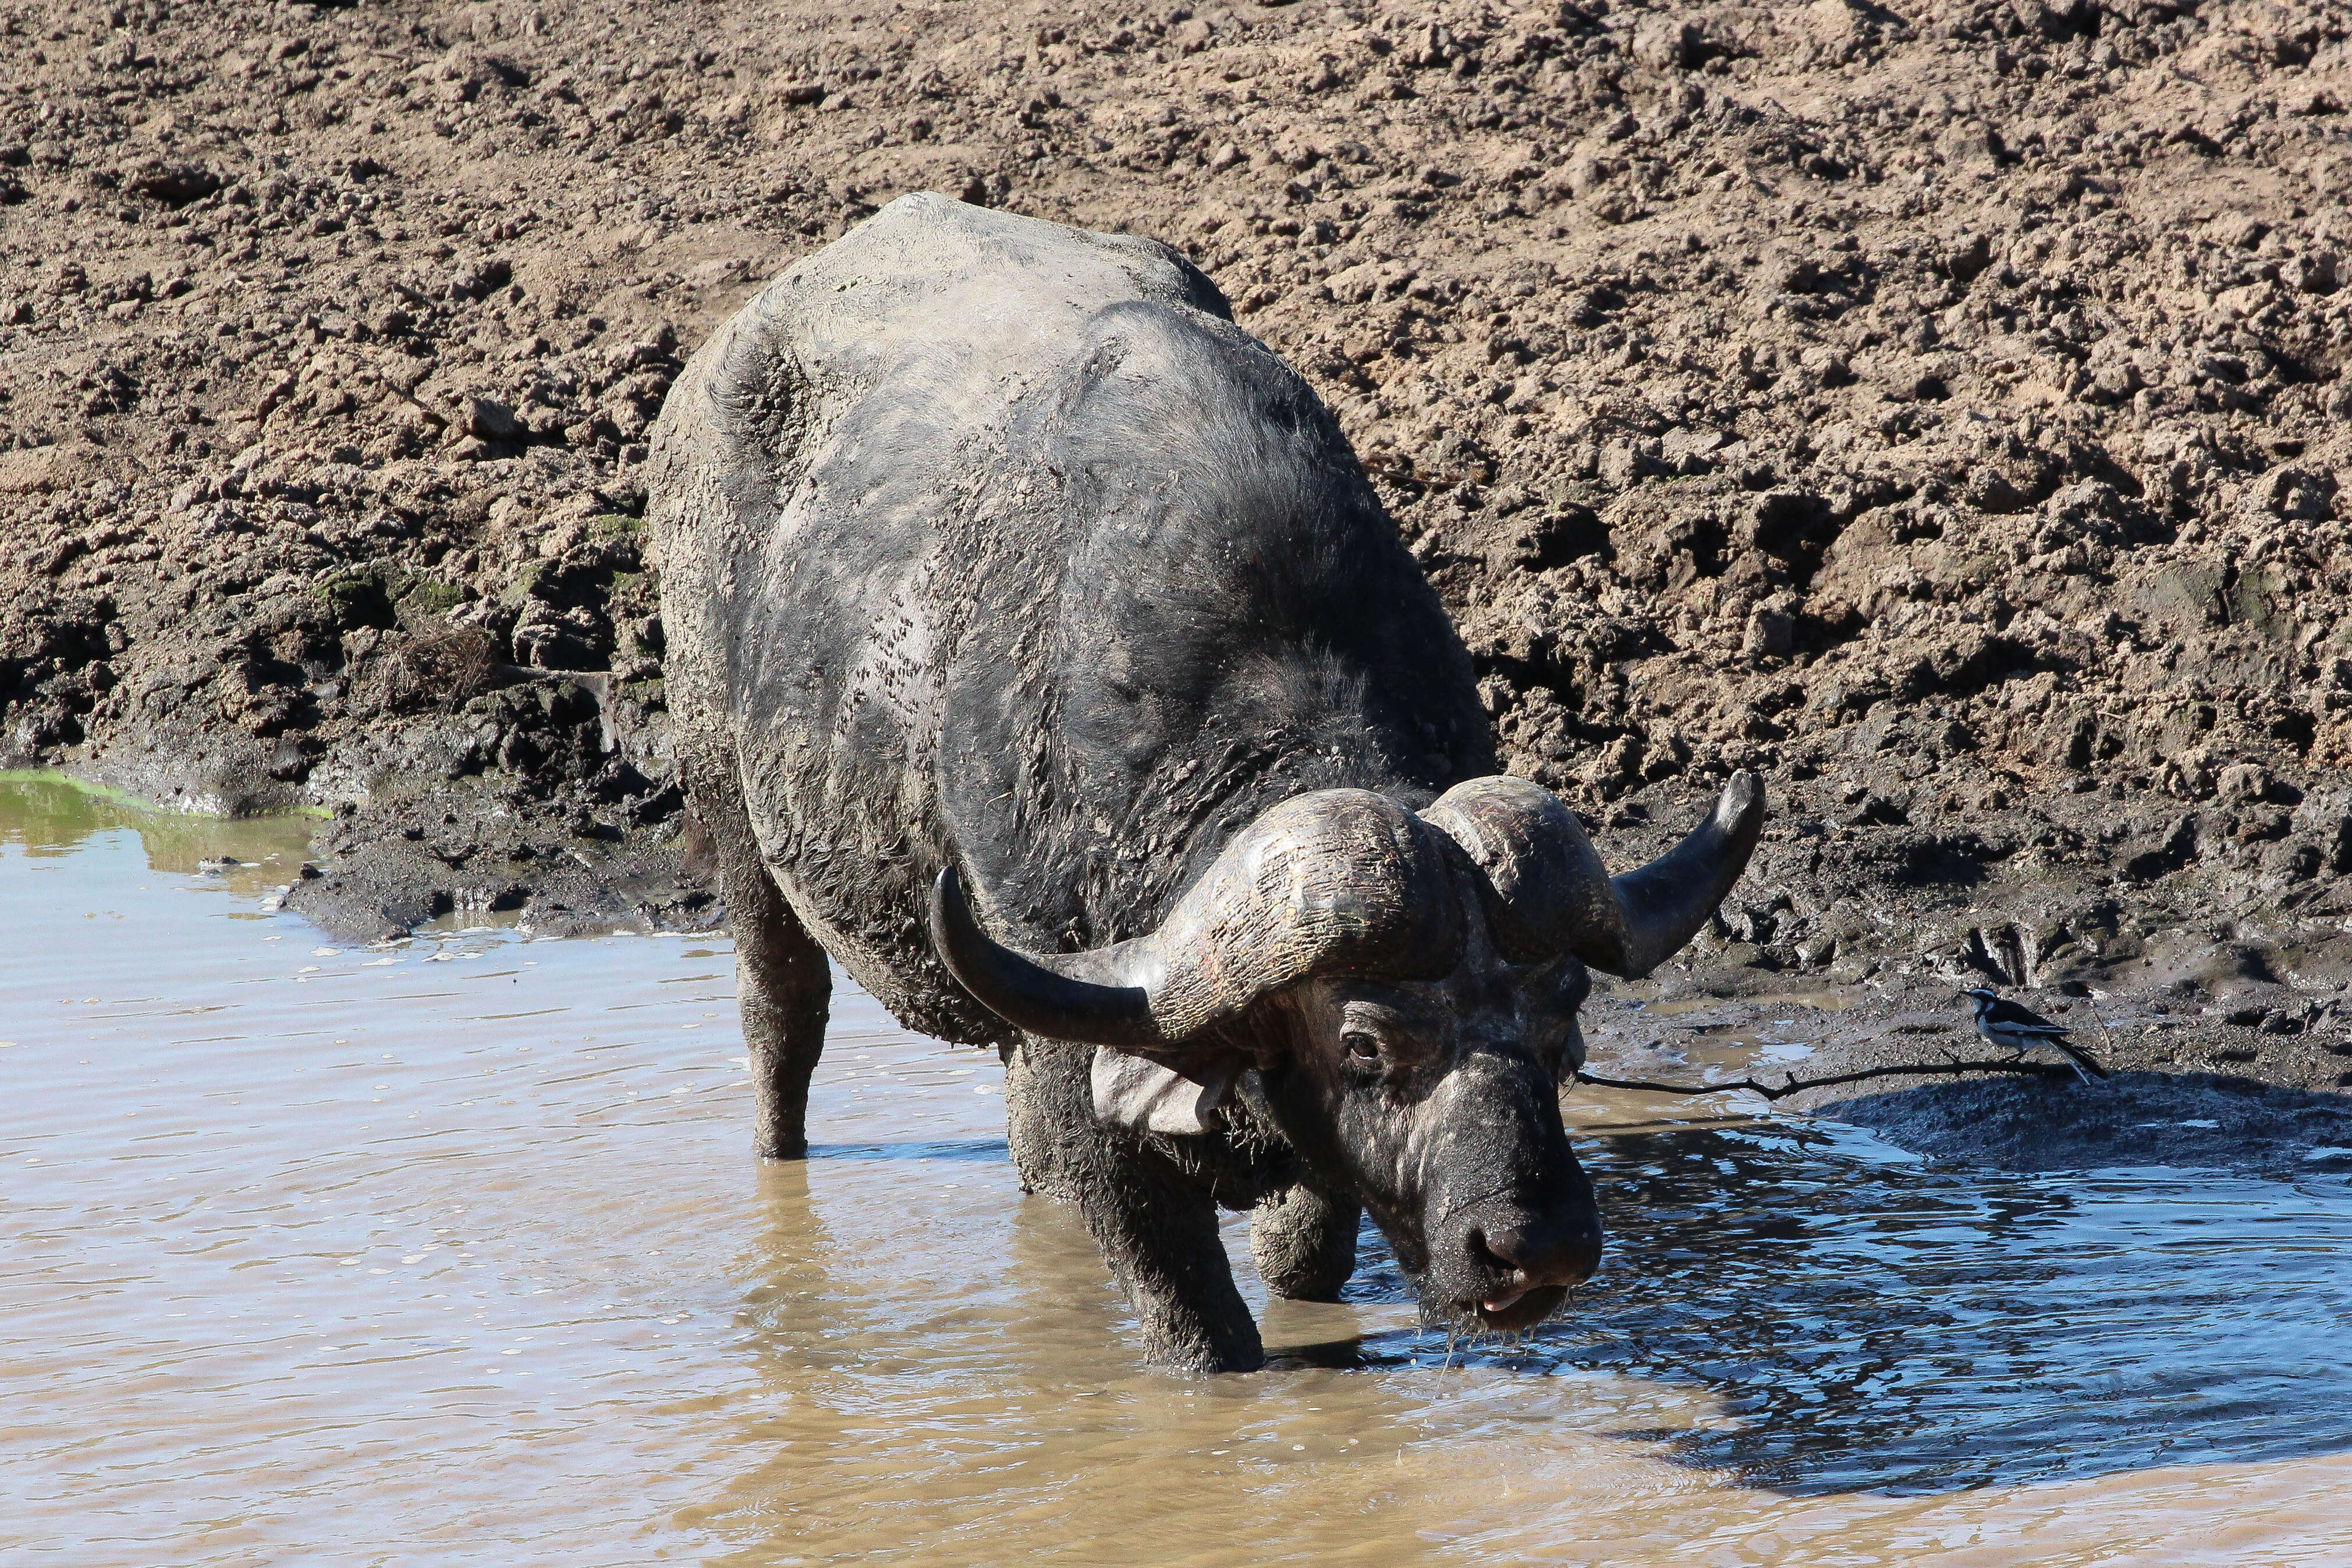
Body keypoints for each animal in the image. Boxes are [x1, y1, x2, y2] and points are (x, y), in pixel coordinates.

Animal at [654, 193, 1759, 1372]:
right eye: (1363, 1044)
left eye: (1561, 1016)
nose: (1536, 1246)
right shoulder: (1082, 1084)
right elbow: (1198, 1321)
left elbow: (1304, 1251)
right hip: (728, 799)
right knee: (781, 1012)